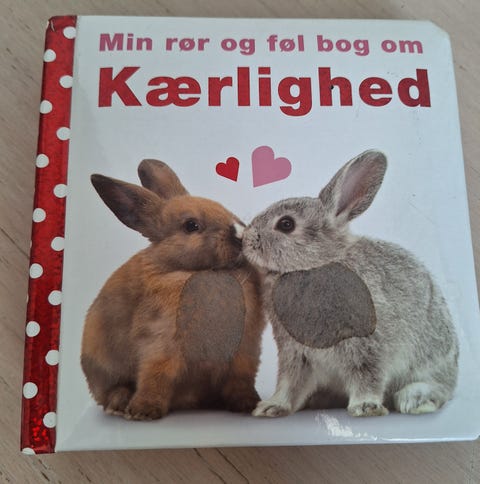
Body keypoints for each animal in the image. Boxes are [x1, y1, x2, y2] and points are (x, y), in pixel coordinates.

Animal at [81, 159, 265, 420]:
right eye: (191, 225)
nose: (241, 234)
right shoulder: (160, 342)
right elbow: (156, 376)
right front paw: (143, 411)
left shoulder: (245, 348)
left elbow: (241, 378)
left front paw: (248, 404)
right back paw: (120, 403)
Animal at [242, 150, 459, 418]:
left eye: (286, 224)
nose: (246, 240)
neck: (313, 266)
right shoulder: (295, 352)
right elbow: (290, 383)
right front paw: (272, 407)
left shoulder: (366, 344)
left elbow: (367, 374)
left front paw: (366, 407)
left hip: (431, 358)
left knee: (438, 388)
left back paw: (415, 400)